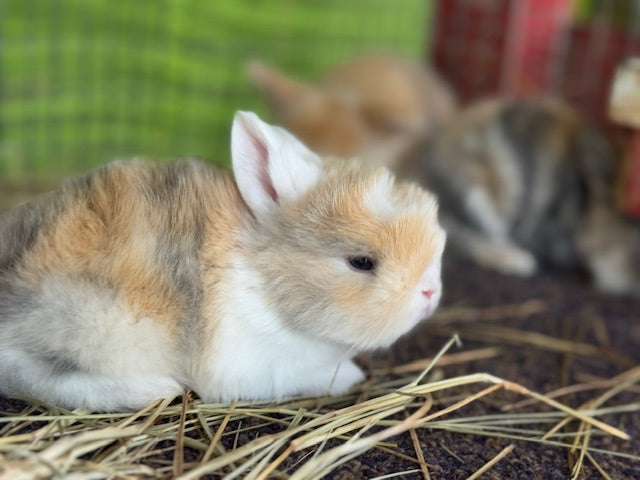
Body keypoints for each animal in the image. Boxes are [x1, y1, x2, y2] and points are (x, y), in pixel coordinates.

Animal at [0, 111, 446, 411]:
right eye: (361, 262)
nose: (430, 293)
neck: (266, 281)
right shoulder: (254, 367)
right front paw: (352, 375)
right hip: (93, 323)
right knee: (34, 375)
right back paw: (156, 389)